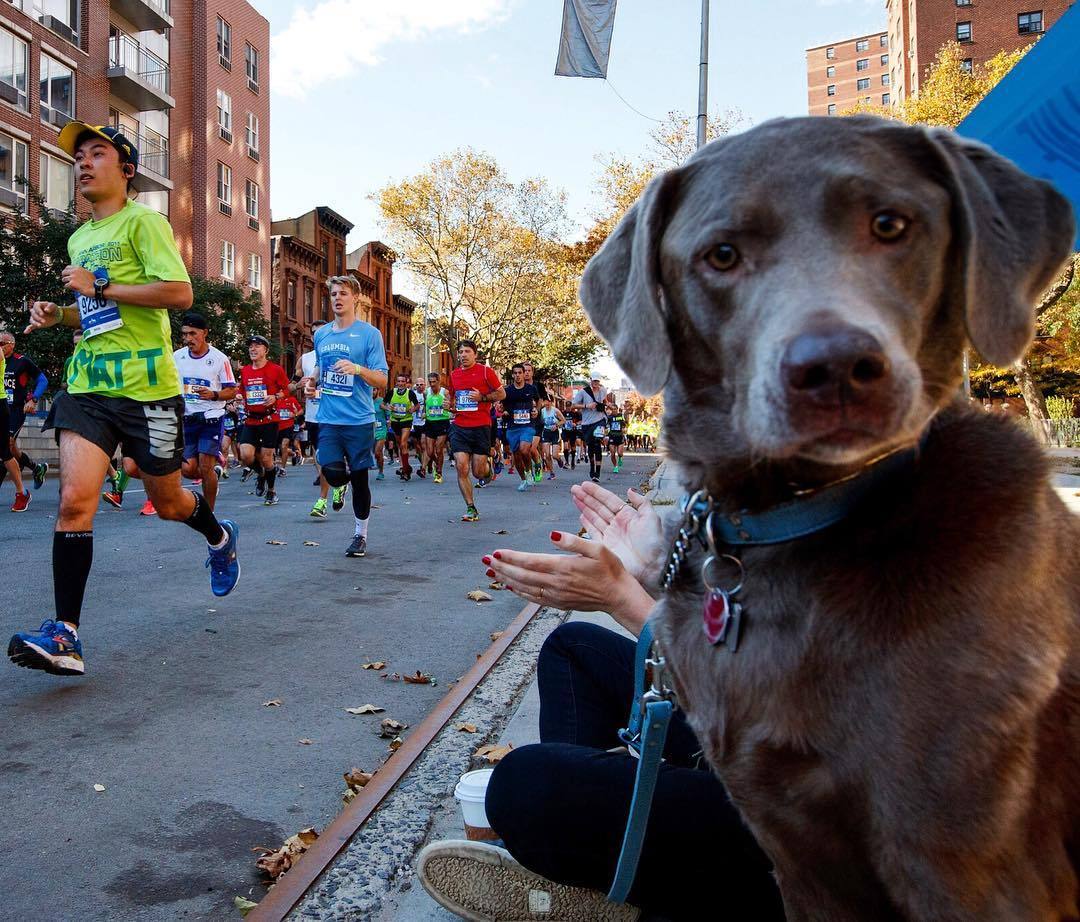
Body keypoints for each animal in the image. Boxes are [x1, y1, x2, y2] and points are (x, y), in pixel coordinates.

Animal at [583, 117, 1080, 922]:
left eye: (891, 224)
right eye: (722, 254)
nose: (836, 367)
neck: (792, 523)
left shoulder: (967, 864)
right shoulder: (792, 848)